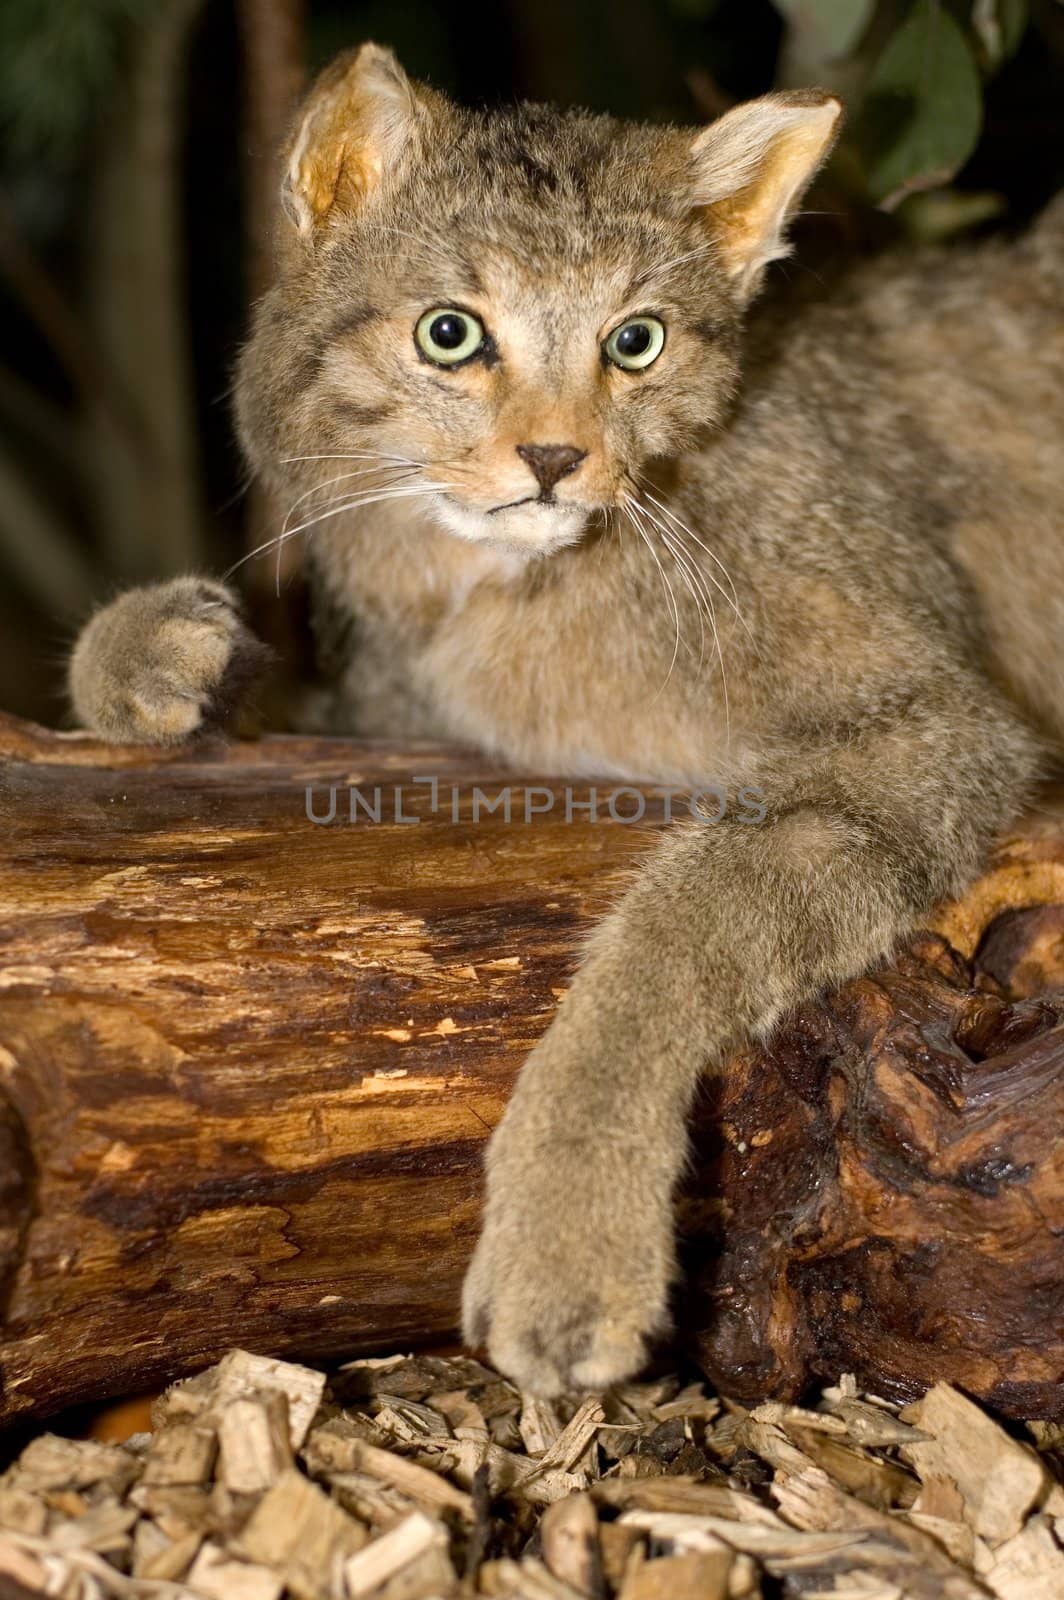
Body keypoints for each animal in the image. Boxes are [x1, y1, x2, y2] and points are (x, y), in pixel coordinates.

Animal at [72, 43, 1062, 1401]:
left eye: (633, 343)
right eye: (449, 334)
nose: (553, 460)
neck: (497, 587)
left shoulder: (926, 721)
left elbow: (676, 929)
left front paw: (567, 1240)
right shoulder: (404, 697)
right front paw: (138, 649)